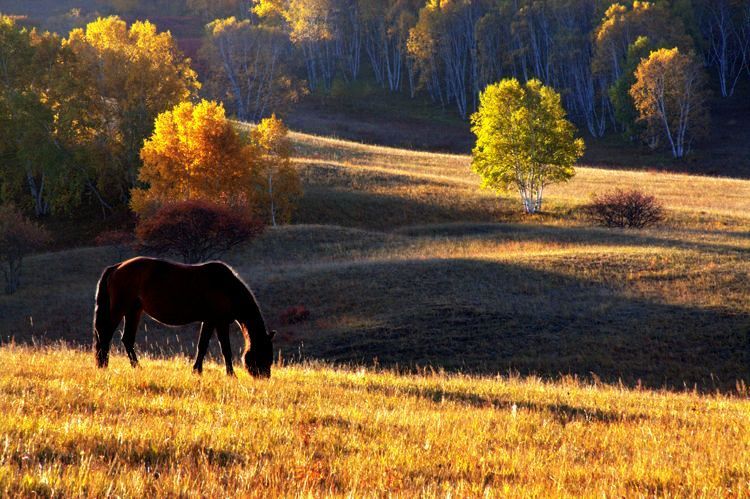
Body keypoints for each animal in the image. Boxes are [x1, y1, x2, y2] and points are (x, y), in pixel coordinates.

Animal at [93, 258, 276, 378]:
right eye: (264, 352)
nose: (264, 377)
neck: (226, 287)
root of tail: (116, 267)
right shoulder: (219, 322)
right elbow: (225, 349)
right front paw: (231, 375)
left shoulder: (209, 321)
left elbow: (202, 346)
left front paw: (197, 371)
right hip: (120, 309)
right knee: (106, 335)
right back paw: (104, 365)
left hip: (133, 311)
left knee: (127, 339)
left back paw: (136, 367)